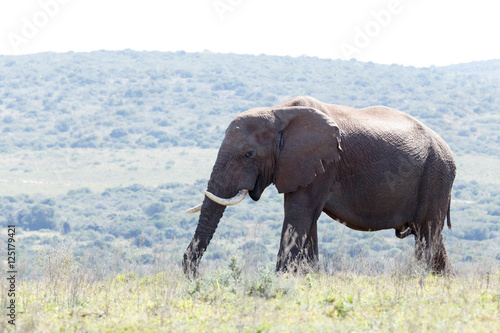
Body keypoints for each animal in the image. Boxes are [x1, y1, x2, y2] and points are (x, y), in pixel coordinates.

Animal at [184, 95, 458, 274]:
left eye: (249, 154)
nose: (192, 273)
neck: (278, 112)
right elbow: (307, 219)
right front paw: (308, 277)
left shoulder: (323, 163)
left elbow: (299, 213)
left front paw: (283, 279)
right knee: (431, 236)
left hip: (436, 175)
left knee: (427, 235)